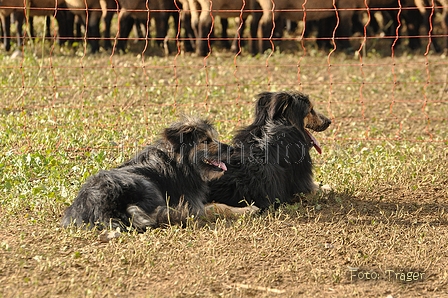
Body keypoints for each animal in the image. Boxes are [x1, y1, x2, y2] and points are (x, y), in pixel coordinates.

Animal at [60, 117, 252, 232]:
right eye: (206, 141)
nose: (233, 149)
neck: (180, 163)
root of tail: (99, 208)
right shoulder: (192, 205)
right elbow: (218, 206)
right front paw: (247, 209)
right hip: (145, 184)